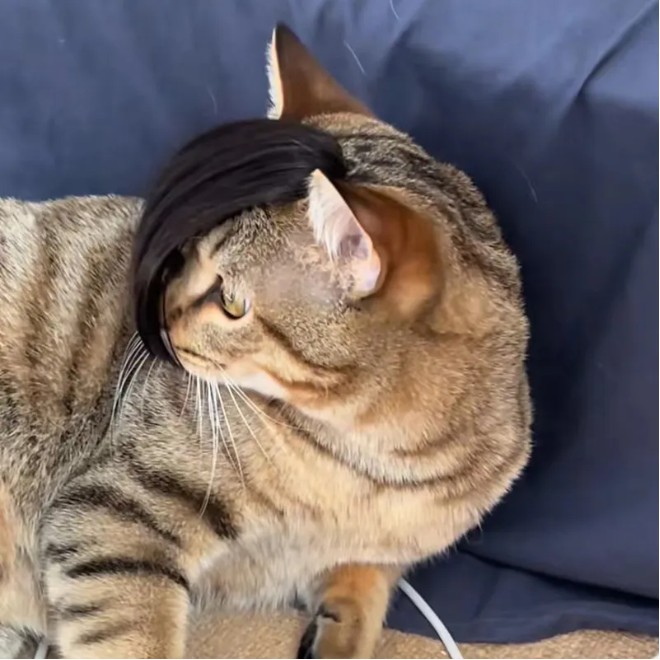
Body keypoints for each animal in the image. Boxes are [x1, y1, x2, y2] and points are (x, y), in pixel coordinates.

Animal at [0, 24, 531, 659]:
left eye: (230, 302)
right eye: (182, 255)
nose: (158, 320)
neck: (375, 472)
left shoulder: (378, 553)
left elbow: (365, 588)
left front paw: (338, 634)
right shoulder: (118, 508)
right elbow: (133, 636)